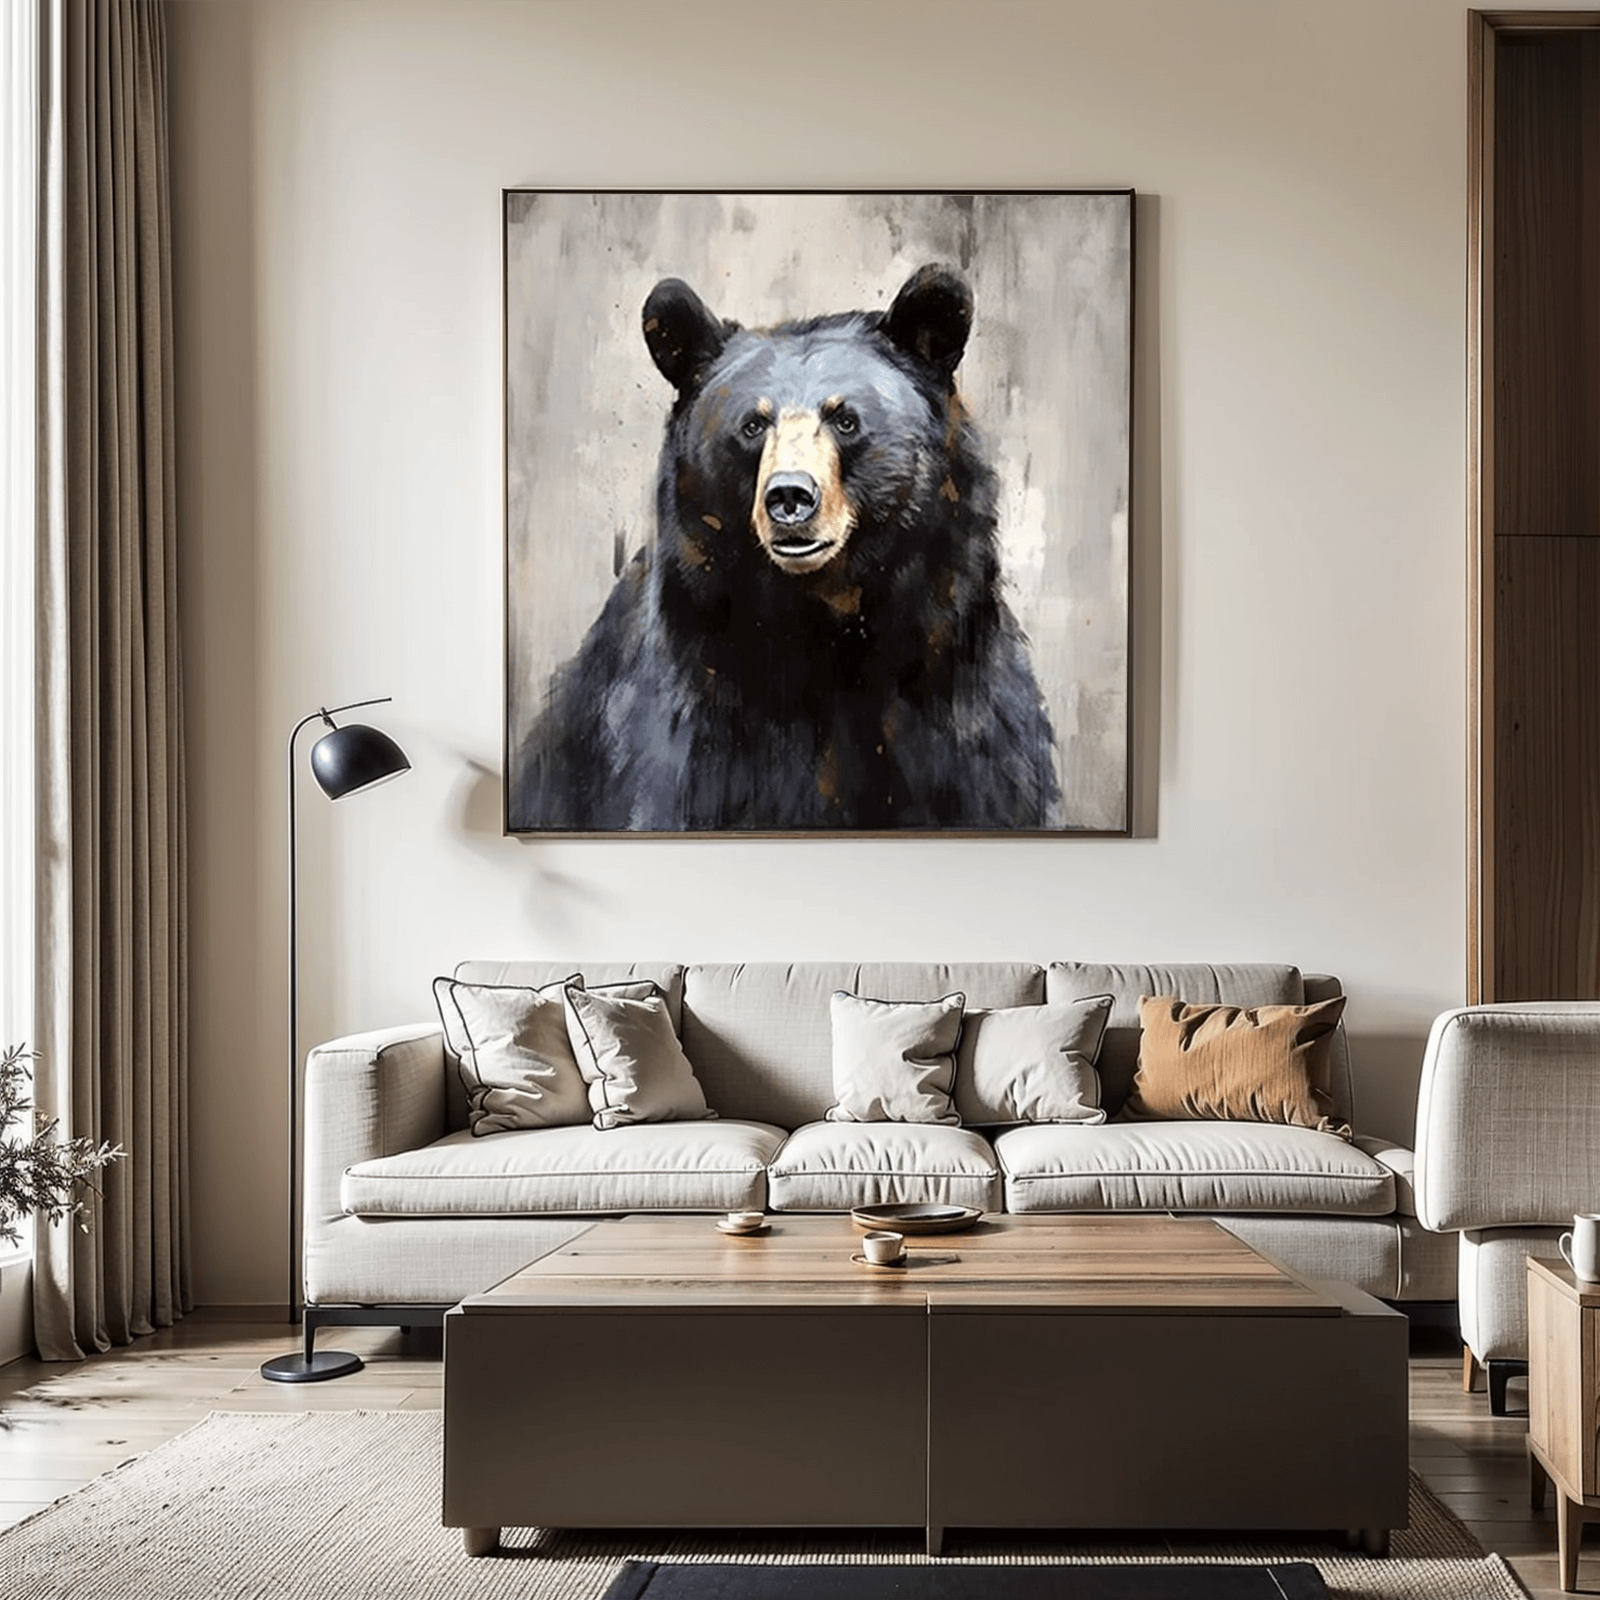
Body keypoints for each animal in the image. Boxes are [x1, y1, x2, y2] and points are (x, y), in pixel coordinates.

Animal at [508, 264, 1063, 833]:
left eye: (845, 419)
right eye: (753, 425)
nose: (790, 496)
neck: (824, 626)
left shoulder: (963, 722)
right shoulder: (694, 725)